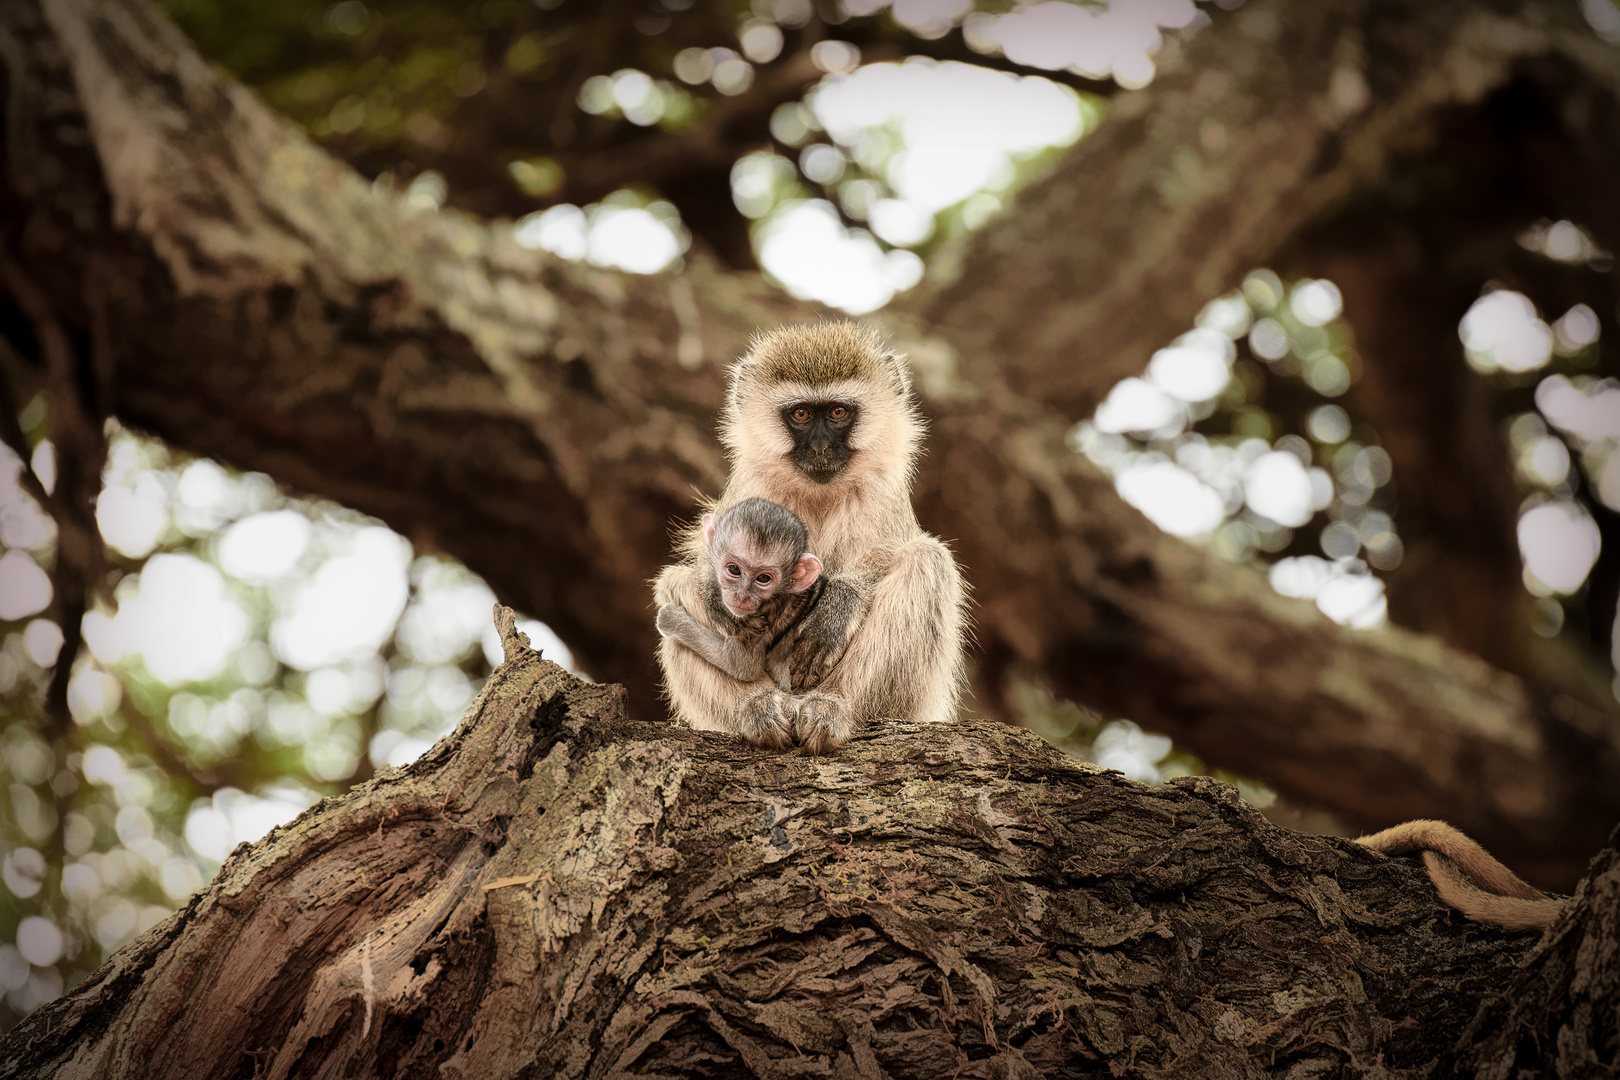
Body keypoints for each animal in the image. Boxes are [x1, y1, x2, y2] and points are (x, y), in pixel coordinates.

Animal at [651, 495, 822, 689]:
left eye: (764, 578)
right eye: (733, 569)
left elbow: (741, 665)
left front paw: (673, 620)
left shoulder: (769, 613)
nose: (741, 596)